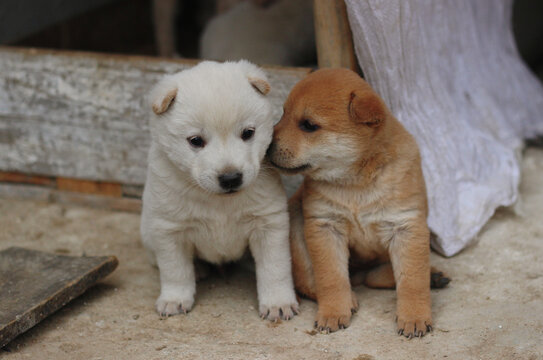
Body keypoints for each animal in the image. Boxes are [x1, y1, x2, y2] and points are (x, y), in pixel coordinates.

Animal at [140, 60, 300, 322]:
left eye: (248, 133)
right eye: (195, 140)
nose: (230, 178)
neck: (220, 202)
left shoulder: (268, 224)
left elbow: (275, 268)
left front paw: (278, 302)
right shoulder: (169, 230)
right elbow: (175, 270)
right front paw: (174, 299)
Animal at [268, 67, 442, 338]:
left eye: (308, 125)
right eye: (283, 114)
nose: (265, 147)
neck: (355, 182)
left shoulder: (406, 225)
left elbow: (412, 280)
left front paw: (414, 317)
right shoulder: (325, 226)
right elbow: (331, 278)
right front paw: (333, 312)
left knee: (378, 275)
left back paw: (432, 277)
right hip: (296, 224)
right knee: (312, 282)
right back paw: (349, 299)